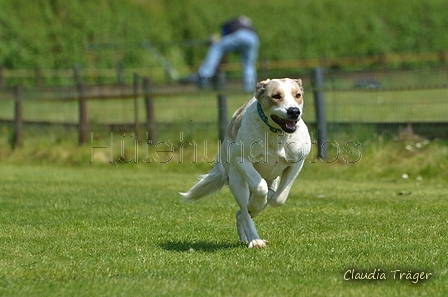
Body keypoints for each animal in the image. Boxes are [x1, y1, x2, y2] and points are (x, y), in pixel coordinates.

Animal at [180, 77, 310, 246]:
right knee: (244, 211)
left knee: (242, 214)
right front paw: (256, 203)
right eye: (276, 96)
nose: (294, 111)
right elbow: (260, 187)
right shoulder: (240, 158)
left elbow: (279, 198)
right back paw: (254, 239)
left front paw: (267, 198)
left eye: (298, 95)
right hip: (237, 182)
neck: (275, 134)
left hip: (272, 181)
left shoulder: (297, 162)